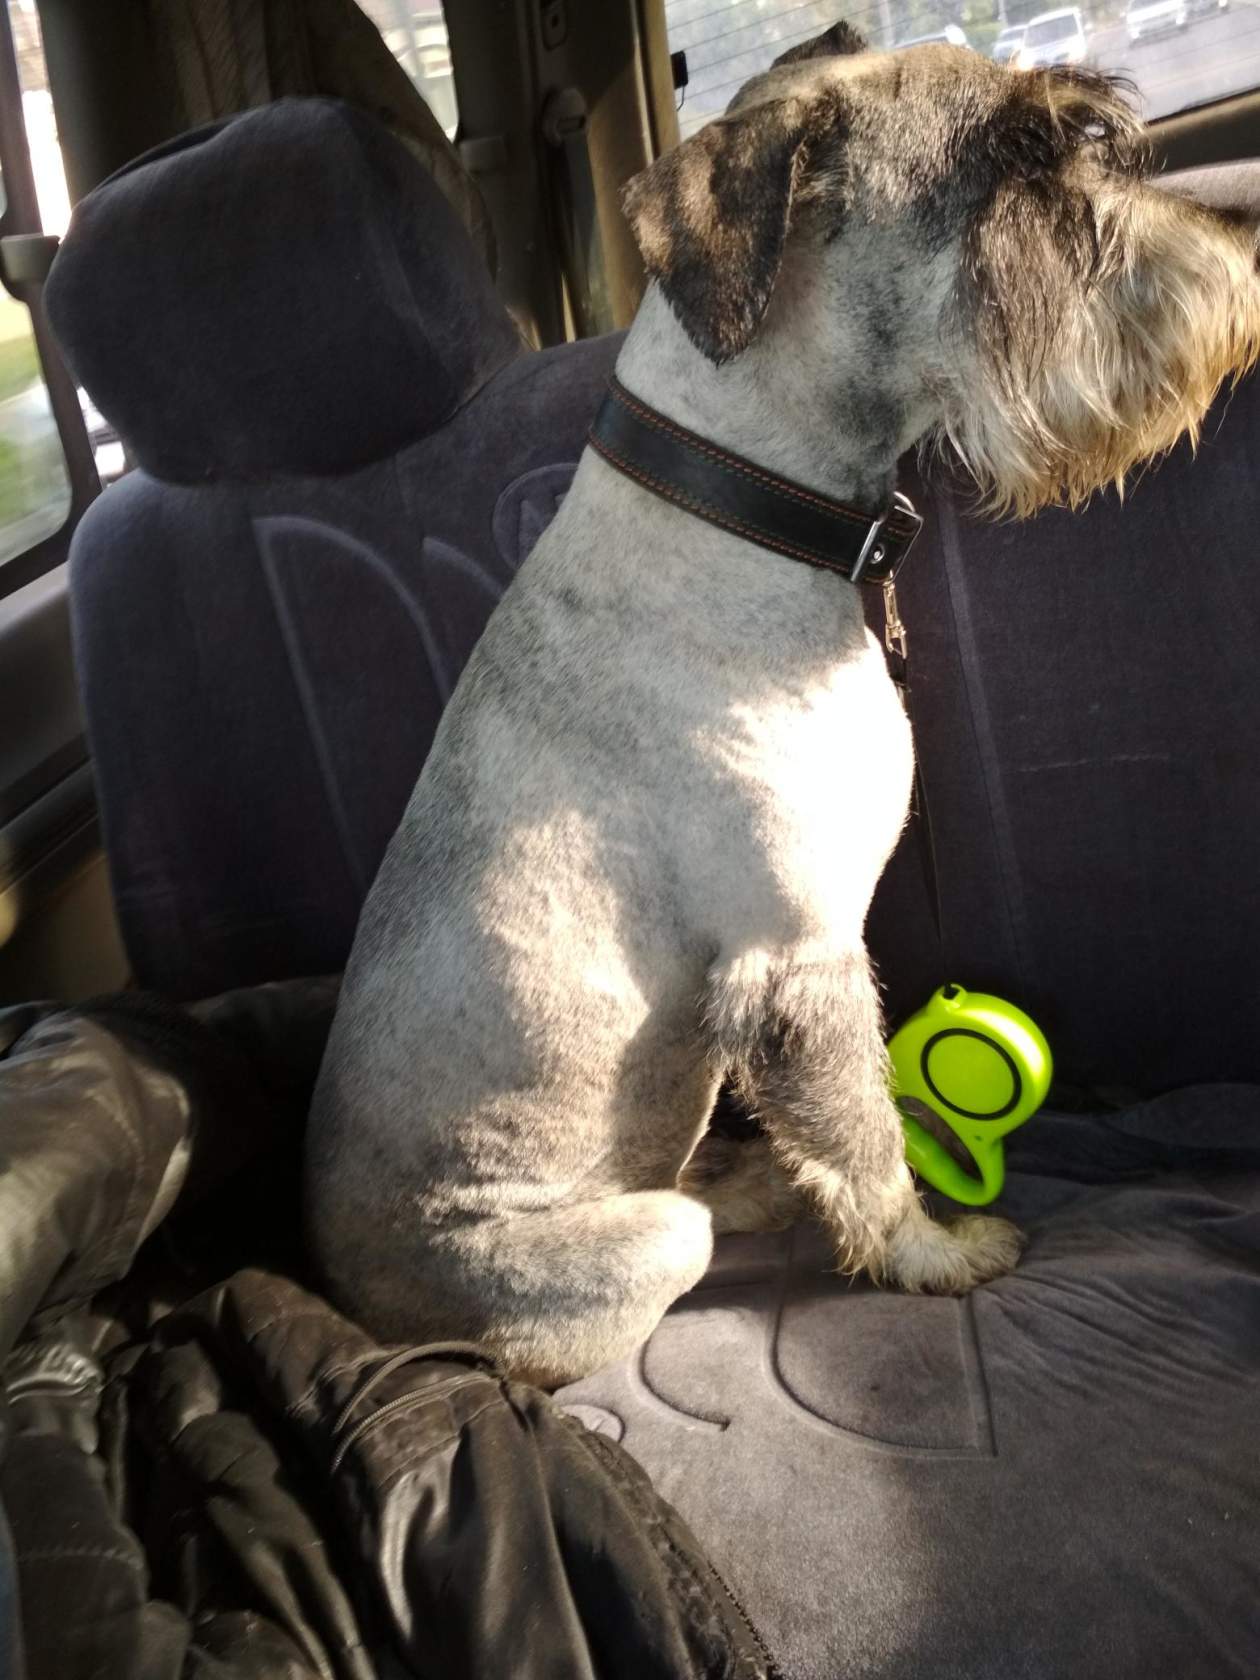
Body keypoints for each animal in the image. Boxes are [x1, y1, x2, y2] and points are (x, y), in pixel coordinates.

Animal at [305, 24, 1260, 1386]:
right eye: (1021, 163)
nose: (1238, 241)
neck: (737, 500)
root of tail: (351, 1293)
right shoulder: (800, 955)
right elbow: (864, 1133)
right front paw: (932, 1254)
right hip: (634, 1244)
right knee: (674, 1233)